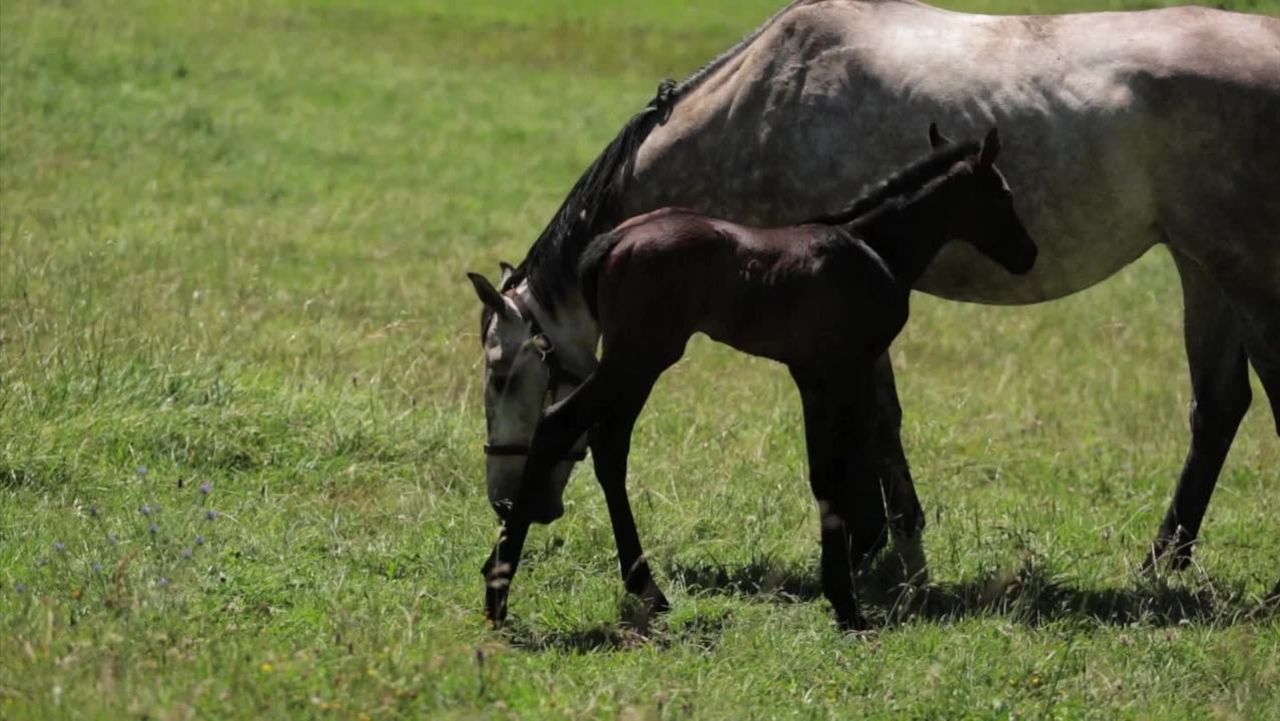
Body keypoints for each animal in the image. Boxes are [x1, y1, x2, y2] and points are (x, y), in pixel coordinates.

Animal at [476, 126, 1034, 630]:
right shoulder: (845, 369)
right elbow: (839, 472)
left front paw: (841, 588)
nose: (1027, 254)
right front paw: (847, 601)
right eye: (1004, 195)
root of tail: (611, 241)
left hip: (637, 362)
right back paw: (500, 592)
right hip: (639, 357)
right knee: (559, 424)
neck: (872, 247)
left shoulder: (812, 375)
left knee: (608, 444)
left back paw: (636, 589)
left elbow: (823, 474)